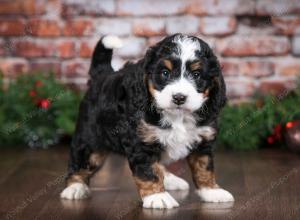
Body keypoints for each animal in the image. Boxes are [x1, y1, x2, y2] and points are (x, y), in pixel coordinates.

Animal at [60, 33, 234, 209]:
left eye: (197, 74)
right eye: (165, 73)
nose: (179, 97)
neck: (177, 116)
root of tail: (102, 76)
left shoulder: (203, 141)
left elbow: (204, 167)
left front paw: (211, 190)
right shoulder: (141, 141)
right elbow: (148, 171)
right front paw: (157, 196)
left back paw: (170, 180)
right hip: (90, 139)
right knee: (81, 162)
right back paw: (75, 187)